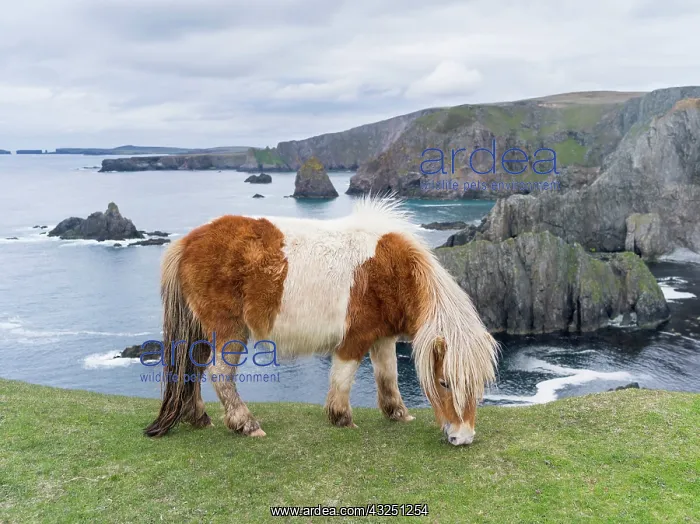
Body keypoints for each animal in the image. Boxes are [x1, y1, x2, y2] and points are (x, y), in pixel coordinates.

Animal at [144, 196, 499, 445]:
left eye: (479, 384)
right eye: (444, 383)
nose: (463, 437)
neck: (392, 271)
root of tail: (188, 242)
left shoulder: (383, 338)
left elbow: (389, 375)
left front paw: (398, 413)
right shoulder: (356, 337)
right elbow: (343, 377)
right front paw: (341, 417)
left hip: (201, 329)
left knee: (193, 368)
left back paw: (199, 417)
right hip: (228, 330)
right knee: (219, 373)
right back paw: (246, 424)